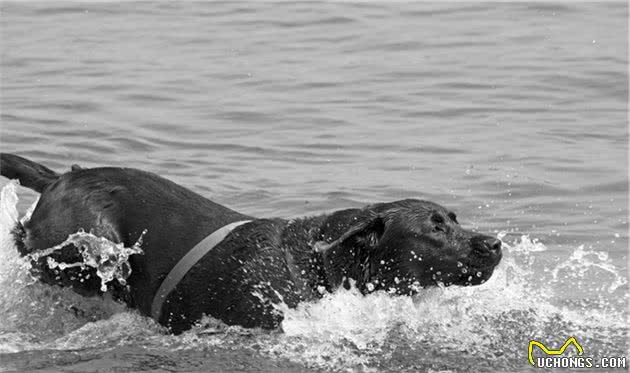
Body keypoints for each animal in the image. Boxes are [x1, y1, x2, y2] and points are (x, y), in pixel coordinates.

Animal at [0, 153, 504, 332]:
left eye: (454, 219)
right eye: (435, 228)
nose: (495, 244)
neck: (320, 267)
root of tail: (58, 178)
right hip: (93, 244)